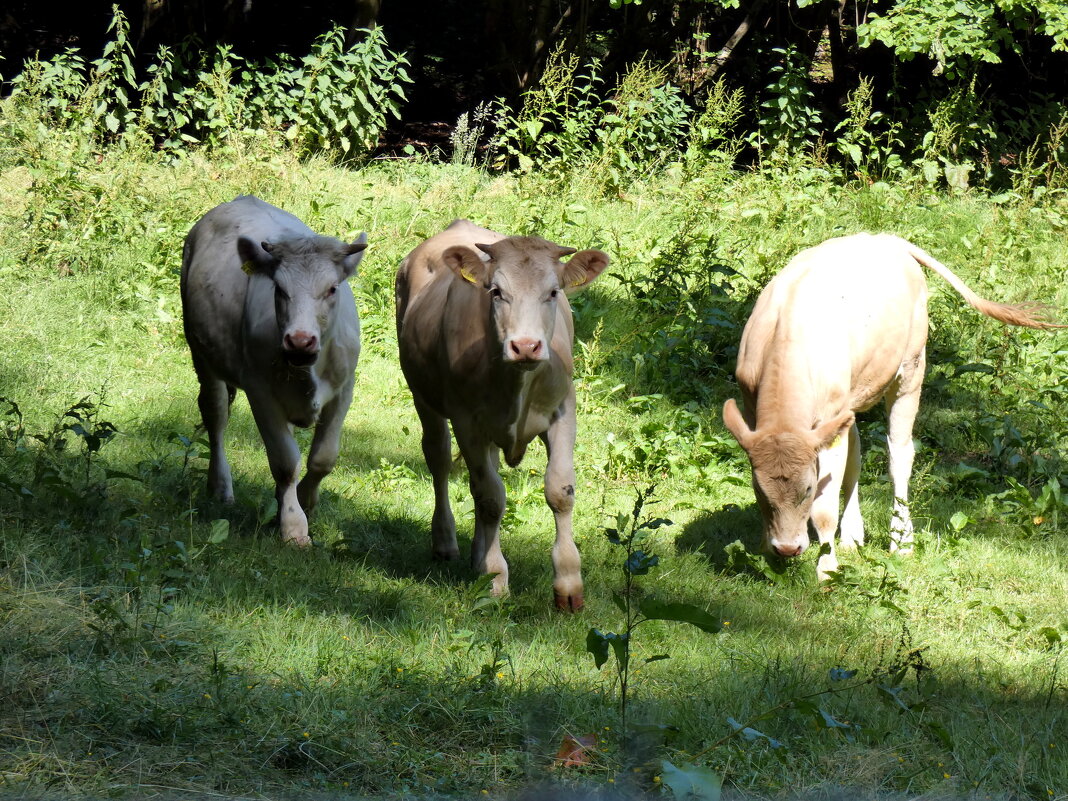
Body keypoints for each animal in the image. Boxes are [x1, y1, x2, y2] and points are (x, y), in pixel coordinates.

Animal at [179, 194, 367, 546]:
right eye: (279, 289)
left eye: (332, 289)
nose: (300, 340)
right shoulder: (260, 391)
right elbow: (284, 462)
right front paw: (293, 526)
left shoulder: (344, 389)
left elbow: (323, 458)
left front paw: (304, 501)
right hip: (201, 352)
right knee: (215, 414)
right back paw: (220, 486)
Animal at [397, 217, 610, 606]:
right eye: (496, 292)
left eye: (553, 292)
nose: (525, 345)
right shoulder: (467, 421)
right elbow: (491, 498)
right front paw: (496, 578)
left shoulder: (563, 411)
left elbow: (559, 490)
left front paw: (569, 583)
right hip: (423, 395)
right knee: (440, 459)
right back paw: (446, 541)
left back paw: (477, 554)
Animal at [721, 233, 1055, 585]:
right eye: (759, 488)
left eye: (808, 488)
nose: (786, 548)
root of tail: (885, 238)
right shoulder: (758, 411)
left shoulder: (829, 421)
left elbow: (824, 508)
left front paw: (827, 569)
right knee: (856, 457)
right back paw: (853, 534)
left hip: (911, 367)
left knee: (900, 454)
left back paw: (901, 539)